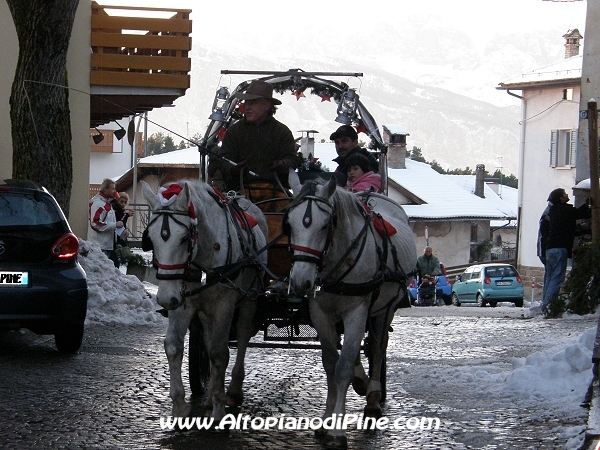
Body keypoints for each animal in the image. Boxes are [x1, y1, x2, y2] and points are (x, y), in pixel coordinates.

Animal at [141, 179, 268, 422]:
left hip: (250, 298)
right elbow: (174, 346)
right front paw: (180, 405)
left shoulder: (224, 305)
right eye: (150, 239)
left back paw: (232, 392)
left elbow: (220, 353)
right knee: (208, 342)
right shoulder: (184, 303)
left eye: (184, 238)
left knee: (243, 335)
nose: (165, 299)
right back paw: (208, 399)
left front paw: (219, 408)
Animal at [286, 171, 418, 446]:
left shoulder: (357, 311)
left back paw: (373, 399)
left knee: (378, 347)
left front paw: (338, 429)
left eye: (325, 225)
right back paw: (362, 381)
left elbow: (343, 367)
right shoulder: (320, 314)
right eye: (289, 224)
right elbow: (330, 364)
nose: (301, 282)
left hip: (385, 309)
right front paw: (327, 419)